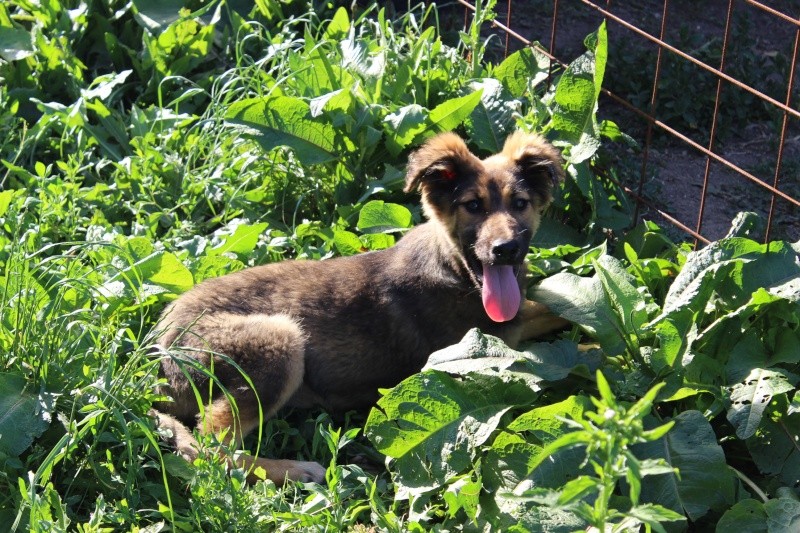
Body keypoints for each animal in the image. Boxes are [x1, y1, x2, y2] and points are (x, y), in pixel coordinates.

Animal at [150, 131, 564, 484]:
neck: (453, 267)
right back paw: (295, 470)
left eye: (520, 204)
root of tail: (156, 353)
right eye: (473, 206)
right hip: (279, 341)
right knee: (208, 448)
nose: (506, 250)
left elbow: (555, 307)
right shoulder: (487, 346)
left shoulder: (515, 319)